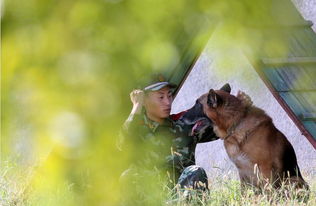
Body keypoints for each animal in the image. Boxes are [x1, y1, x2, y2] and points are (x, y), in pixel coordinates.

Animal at [180, 86, 308, 196]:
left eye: (197, 104)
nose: (180, 119)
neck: (235, 125)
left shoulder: (265, 170)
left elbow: (269, 192)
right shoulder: (243, 173)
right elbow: (244, 193)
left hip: (293, 179)